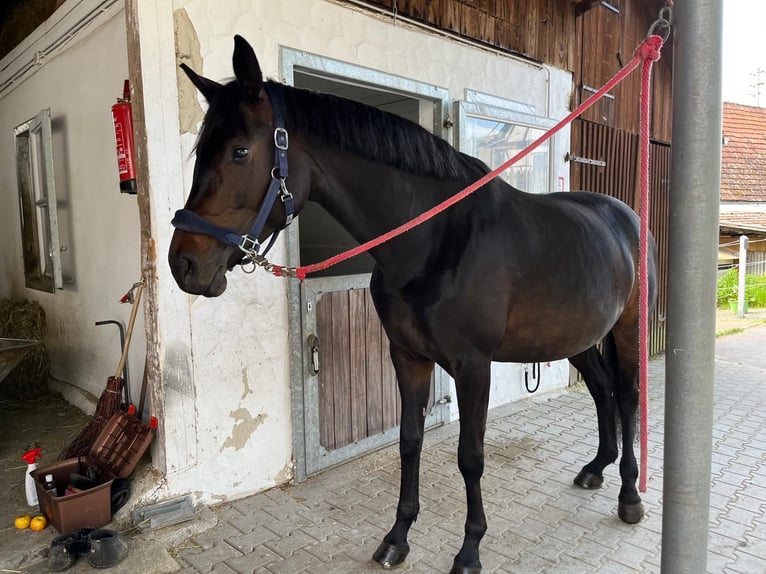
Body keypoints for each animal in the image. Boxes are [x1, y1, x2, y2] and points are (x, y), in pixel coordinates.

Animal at [170, 36, 660, 574]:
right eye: (198, 152)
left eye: (239, 151)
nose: (183, 264)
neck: (435, 241)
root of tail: (626, 216)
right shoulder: (407, 356)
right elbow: (409, 442)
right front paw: (397, 538)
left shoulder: (473, 366)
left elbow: (470, 456)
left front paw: (469, 550)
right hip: (579, 336)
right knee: (601, 390)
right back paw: (596, 468)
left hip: (627, 329)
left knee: (628, 395)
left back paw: (630, 496)